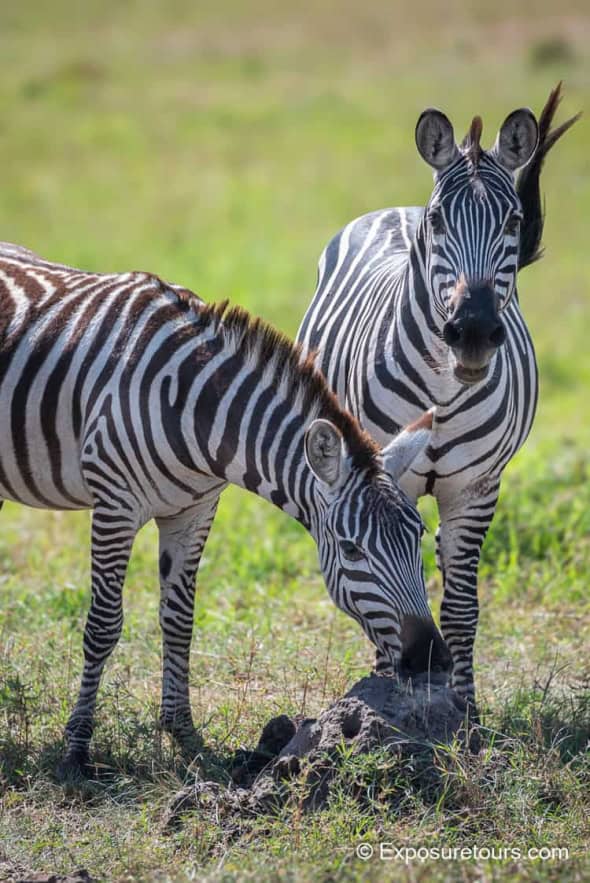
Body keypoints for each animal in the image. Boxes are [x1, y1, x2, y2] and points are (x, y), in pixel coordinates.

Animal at [0, 242, 454, 772]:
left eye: (417, 536)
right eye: (351, 550)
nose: (432, 661)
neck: (193, 408)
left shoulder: (194, 510)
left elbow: (179, 620)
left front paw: (184, 734)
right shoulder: (115, 504)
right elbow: (103, 625)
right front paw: (76, 749)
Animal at [298, 84, 580, 712]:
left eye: (514, 219)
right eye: (438, 221)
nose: (472, 331)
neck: (445, 393)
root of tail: (394, 211)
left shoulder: (475, 489)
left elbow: (459, 609)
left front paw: (465, 711)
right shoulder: (384, 478)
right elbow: (386, 595)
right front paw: (385, 699)